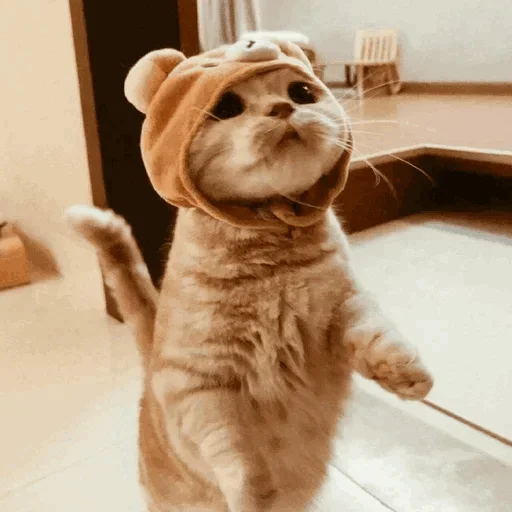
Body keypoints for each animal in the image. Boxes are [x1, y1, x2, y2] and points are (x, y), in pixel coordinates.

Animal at [68, 66, 433, 512]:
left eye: (301, 92)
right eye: (227, 106)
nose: (282, 107)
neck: (274, 264)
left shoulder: (343, 311)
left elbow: (378, 336)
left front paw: (407, 373)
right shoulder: (198, 388)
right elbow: (239, 455)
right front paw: (256, 493)